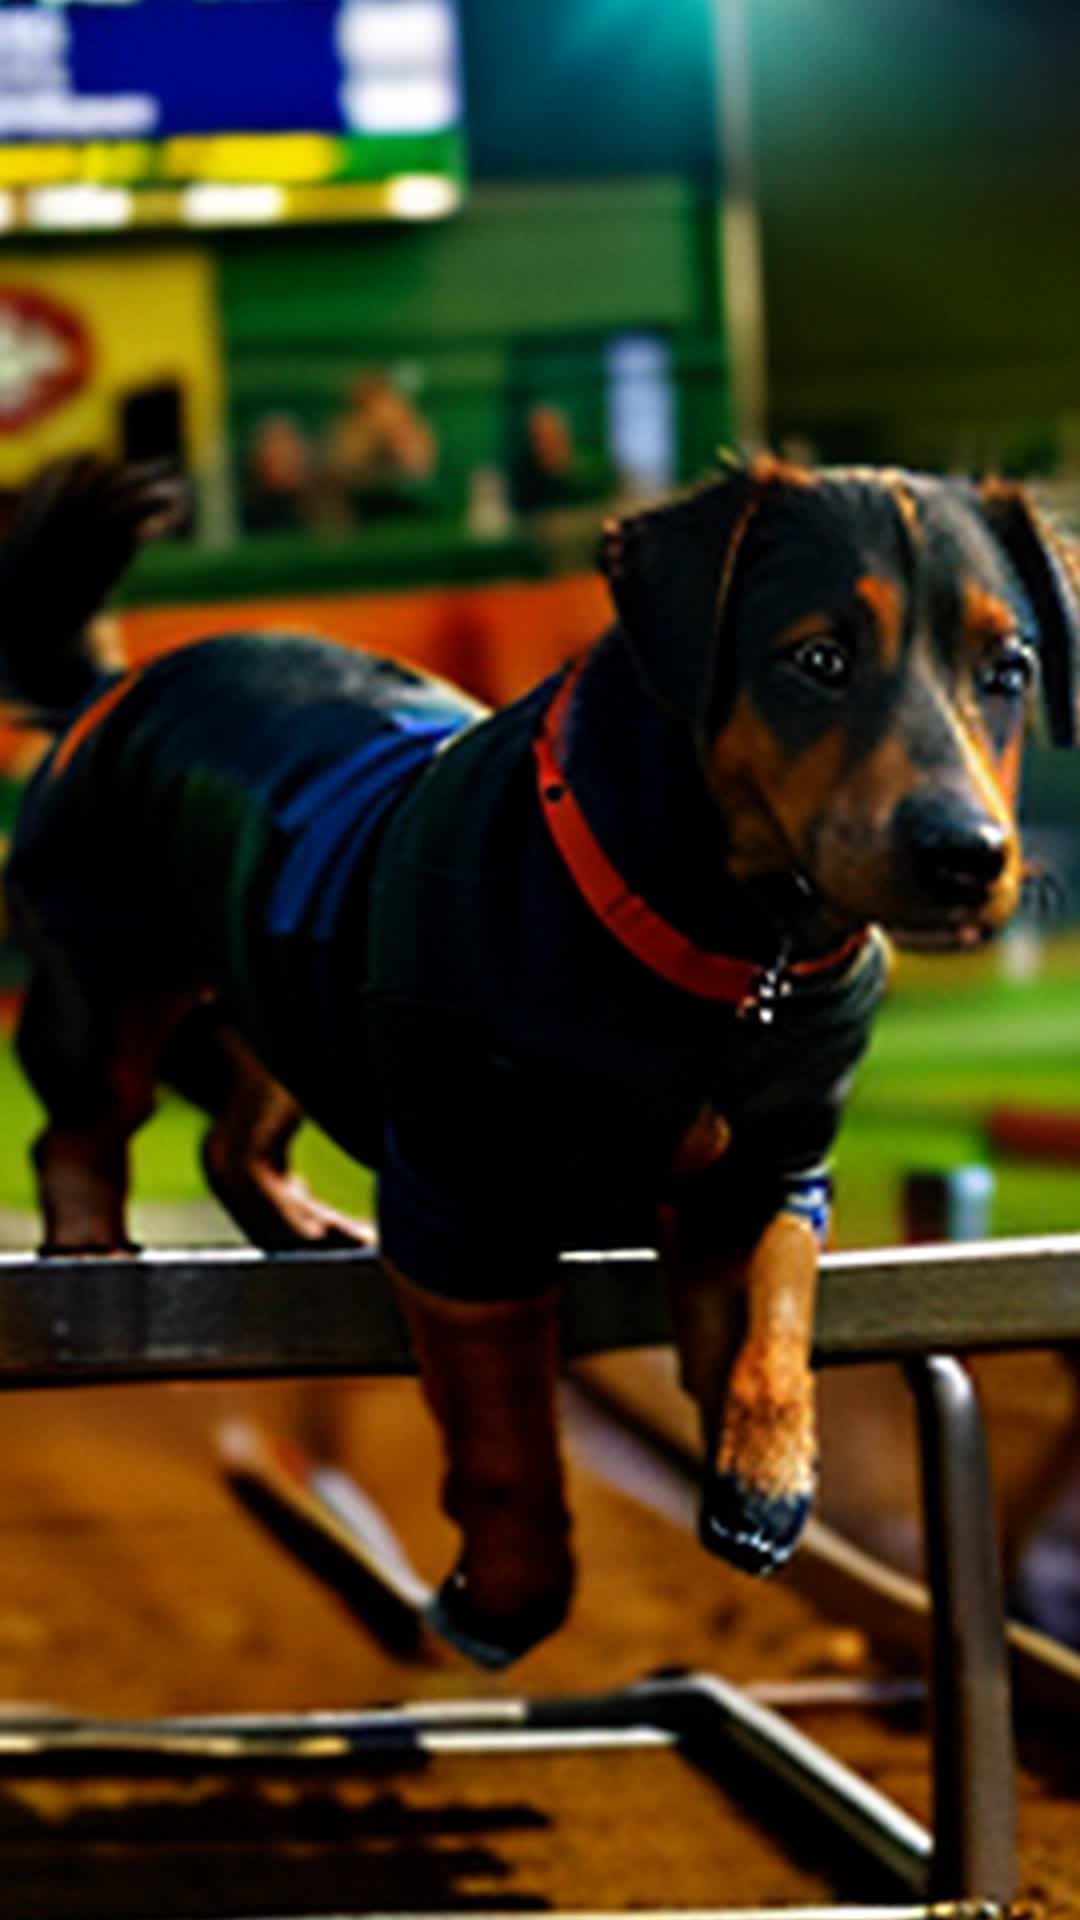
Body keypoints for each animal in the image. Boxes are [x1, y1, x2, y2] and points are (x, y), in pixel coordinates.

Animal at [0, 449, 1068, 1666]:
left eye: (1009, 669)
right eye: (818, 659)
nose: (965, 856)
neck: (735, 948)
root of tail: (108, 684)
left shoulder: (776, 1163)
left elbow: (773, 1313)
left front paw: (767, 1481)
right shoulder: (464, 1202)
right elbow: (507, 1424)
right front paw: (503, 1601)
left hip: (282, 989)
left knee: (236, 1140)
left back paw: (304, 1228)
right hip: (104, 984)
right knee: (80, 1129)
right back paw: (91, 1248)